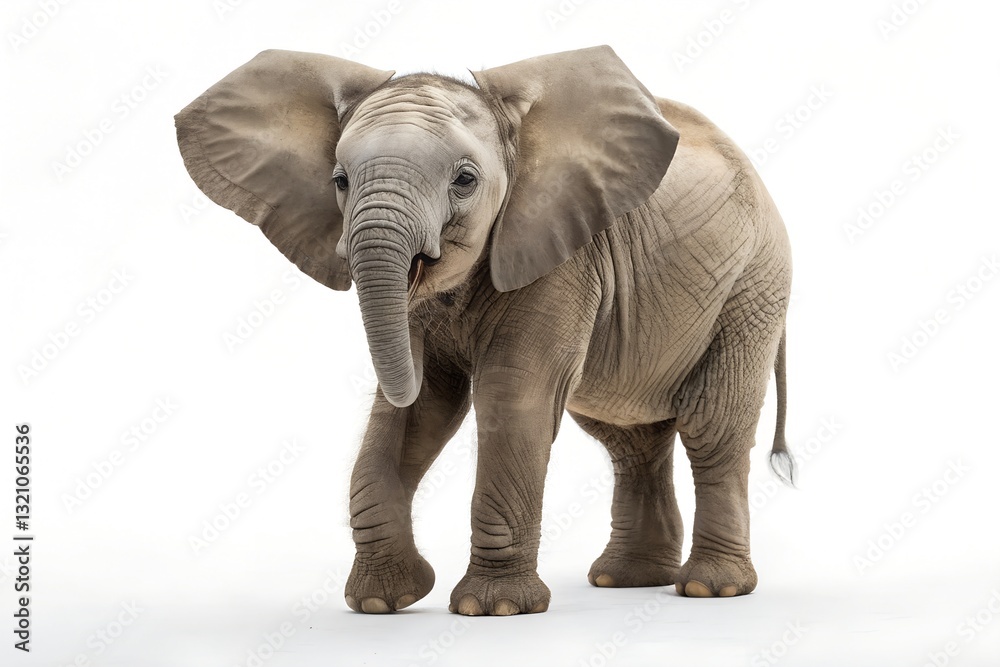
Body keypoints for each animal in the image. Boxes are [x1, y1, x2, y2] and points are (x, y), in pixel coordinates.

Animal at [175, 45, 793, 616]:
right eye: (340, 180)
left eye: (466, 180)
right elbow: (423, 405)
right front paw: (382, 601)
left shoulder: (561, 254)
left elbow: (512, 395)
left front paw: (491, 607)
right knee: (629, 439)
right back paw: (624, 580)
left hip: (752, 287)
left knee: (712, 426)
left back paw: (709, 588)